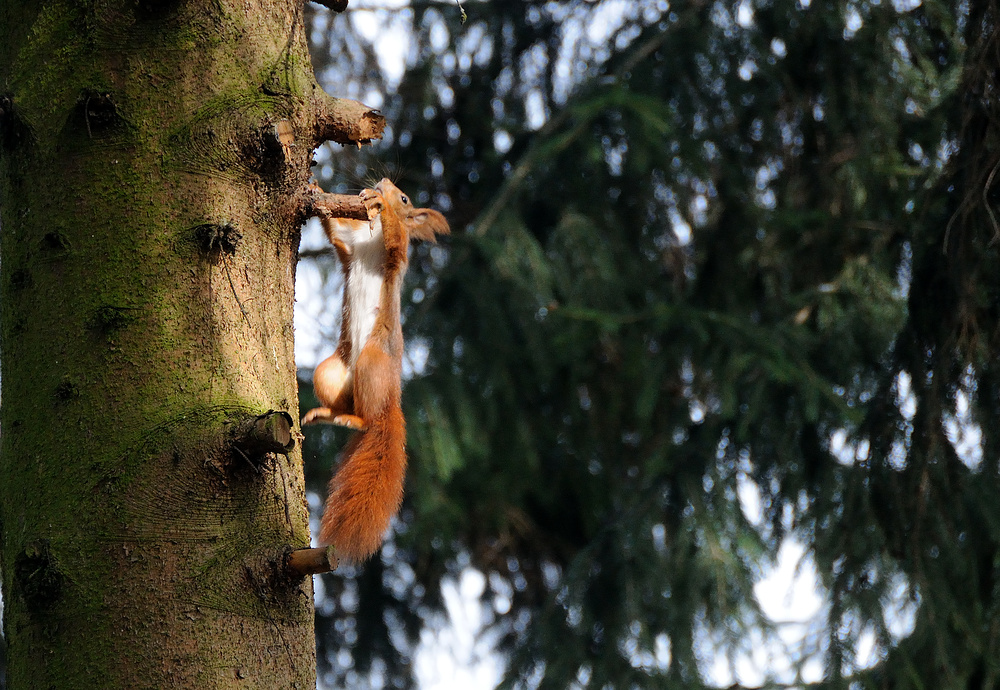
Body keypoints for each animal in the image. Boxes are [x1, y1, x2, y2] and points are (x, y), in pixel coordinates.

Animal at [300, 177, 450, 560]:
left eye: (405, 198)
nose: (383, 183)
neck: (372, 237)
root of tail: (390, 400)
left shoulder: (398, 255)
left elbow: (397, 237)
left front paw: (380, 203)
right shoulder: (350, 244)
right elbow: (337, 232)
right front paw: (315, 185)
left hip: (372, 361)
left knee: (367, 418)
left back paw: (356, 419)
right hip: (331, 372)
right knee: (348, 406)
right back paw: (327, 414)